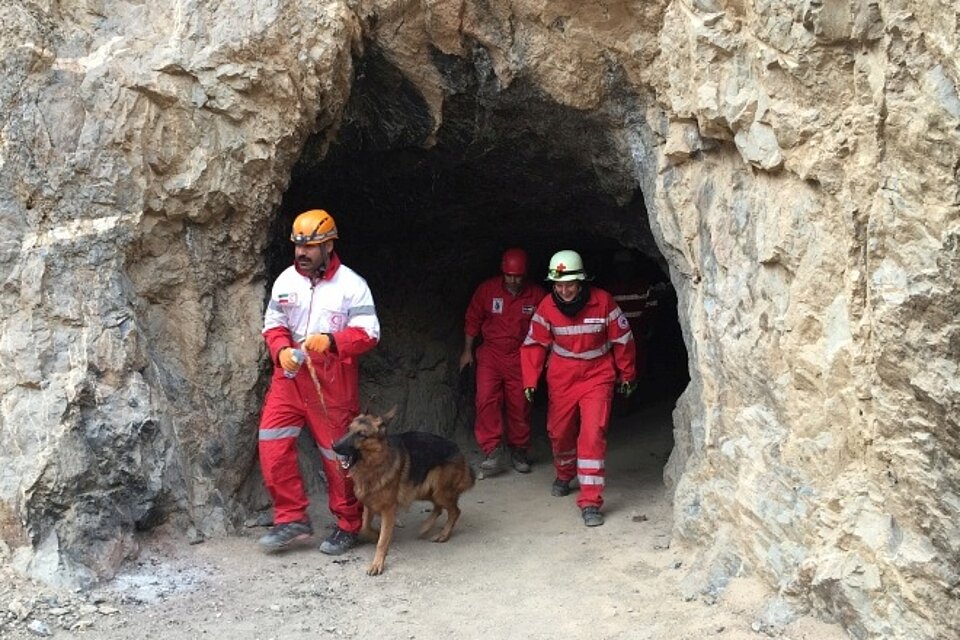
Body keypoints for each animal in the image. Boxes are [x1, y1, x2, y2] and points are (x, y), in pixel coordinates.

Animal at [334, 408, 476, 576]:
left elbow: (382, 541)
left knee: (455, 511)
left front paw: (377, 562)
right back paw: (425, 526)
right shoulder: (369, 504)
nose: (333, 446)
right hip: (425, 489)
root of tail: (457, 448)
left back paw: (443, 535)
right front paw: (376, 534)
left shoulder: (388, 510)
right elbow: (364, 528)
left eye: (361, 434)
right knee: (439, 508)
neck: (375, 463)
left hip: (438, 491)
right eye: (348, 429)